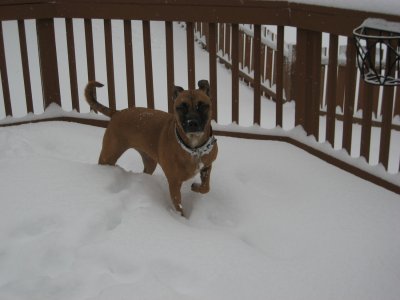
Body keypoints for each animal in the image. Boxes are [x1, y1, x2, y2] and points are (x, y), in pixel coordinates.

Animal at [83, 79, 217, 216]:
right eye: (181, 107)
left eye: (202, 106)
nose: (192, 123)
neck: (194, 149)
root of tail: (117, 112)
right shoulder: (174, 182)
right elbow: (178, 206)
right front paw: (181, 219)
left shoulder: (207, 165)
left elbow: (206, 187)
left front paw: (197, 187)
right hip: (109, 154)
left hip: (150, 161)